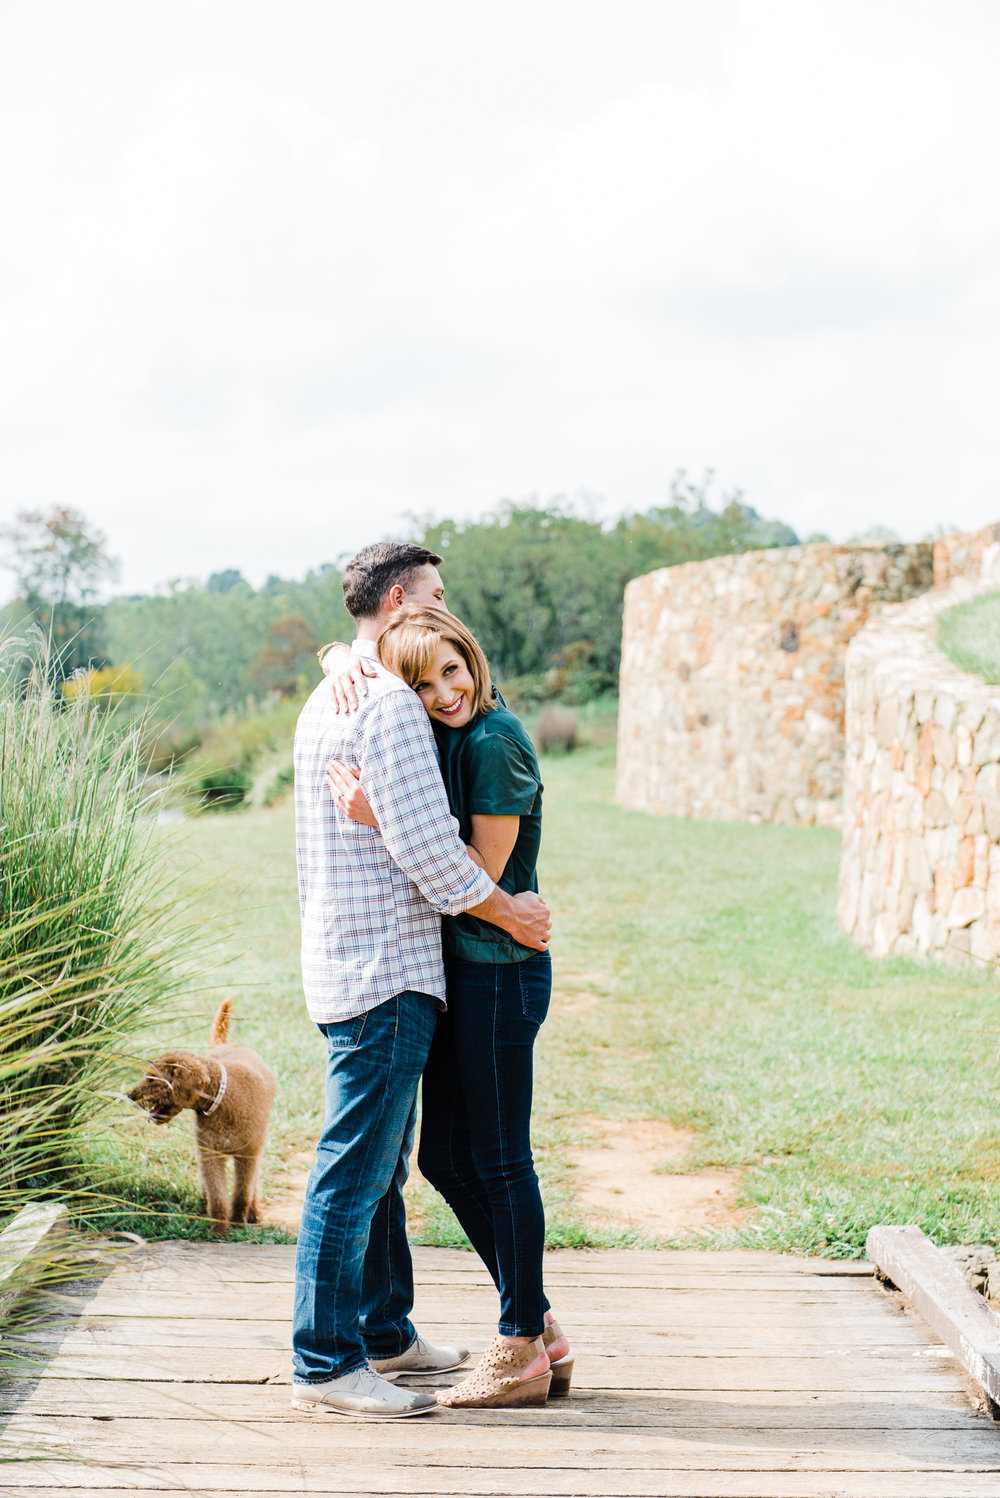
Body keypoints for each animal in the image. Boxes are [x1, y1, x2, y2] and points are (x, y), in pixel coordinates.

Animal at [130, 1000, 276, 1234]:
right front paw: (219, 1230)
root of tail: (225, 1046)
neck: (223, 1099)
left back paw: (253, 1213)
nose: (130, 1096)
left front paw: (238, 1222)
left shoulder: (247, 1154)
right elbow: (217, 1195)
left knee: (254, 1182)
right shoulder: (209, 1152)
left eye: (153, 1079)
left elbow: (242, 1193)